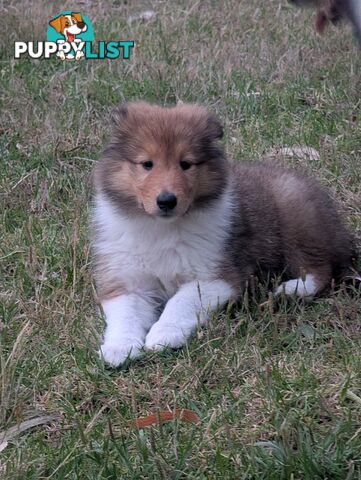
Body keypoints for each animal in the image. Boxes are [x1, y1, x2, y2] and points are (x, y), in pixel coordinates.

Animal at [93, 100, 354, 364]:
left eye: (185, 164)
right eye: (147, 164)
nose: (166, 201)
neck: (162, 228)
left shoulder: (216, 276)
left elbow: (180, 302)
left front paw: (163, 335)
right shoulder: (126, 279)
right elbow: (125, 313)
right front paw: (120, 348)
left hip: (296, 218)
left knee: (320, 269)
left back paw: (290, 290)